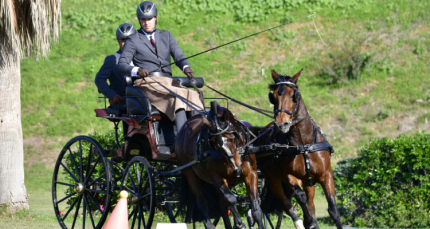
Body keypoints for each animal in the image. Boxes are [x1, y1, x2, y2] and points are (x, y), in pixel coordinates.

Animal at [176, 101, 264, 229]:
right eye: (215, 144)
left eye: (233, 138)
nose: (235, 165)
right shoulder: (215, 177)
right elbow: (231, 199)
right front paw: (239, 223)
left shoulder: (251, 173)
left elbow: (255, 205)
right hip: (190, 173)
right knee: (202, 202)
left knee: (222, 206)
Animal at [255, 70, 342, 229]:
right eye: (273, 96)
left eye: (294, 95)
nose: (281, 124)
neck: (303, 144)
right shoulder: (290, 177)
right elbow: (300, 198)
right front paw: (309, 221)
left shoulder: (326, 175)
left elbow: (333, 210)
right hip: (272, 179)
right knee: (286, 203)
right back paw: (301, 223)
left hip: (309, 182)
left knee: (310, 203)